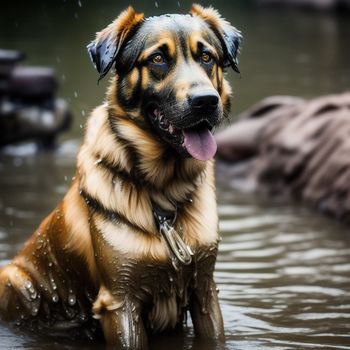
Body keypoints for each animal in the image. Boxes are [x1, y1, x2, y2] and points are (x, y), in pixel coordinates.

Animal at [0, 4, 241, 348]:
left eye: (207, 57)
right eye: (158, 58)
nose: (206, 101)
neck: (165, 191)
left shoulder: (204, 289)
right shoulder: (120, 300)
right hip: (17, 281)